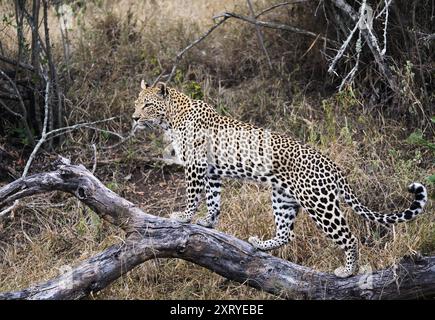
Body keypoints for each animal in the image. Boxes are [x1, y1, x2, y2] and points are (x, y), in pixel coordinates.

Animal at [132, 80, 430, 278]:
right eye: (136, 103)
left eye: (147, 105)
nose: (134, 117)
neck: (172, 117)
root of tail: (332, 165)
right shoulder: (213, 171)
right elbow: (214, 199)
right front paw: (207, 221)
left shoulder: (196, 165)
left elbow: (193, 194)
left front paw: (184, 217)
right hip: (283, 197)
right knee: (287, 232)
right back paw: (261, 244)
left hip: (319, 203)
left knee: (349, 236)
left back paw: (348, 271)